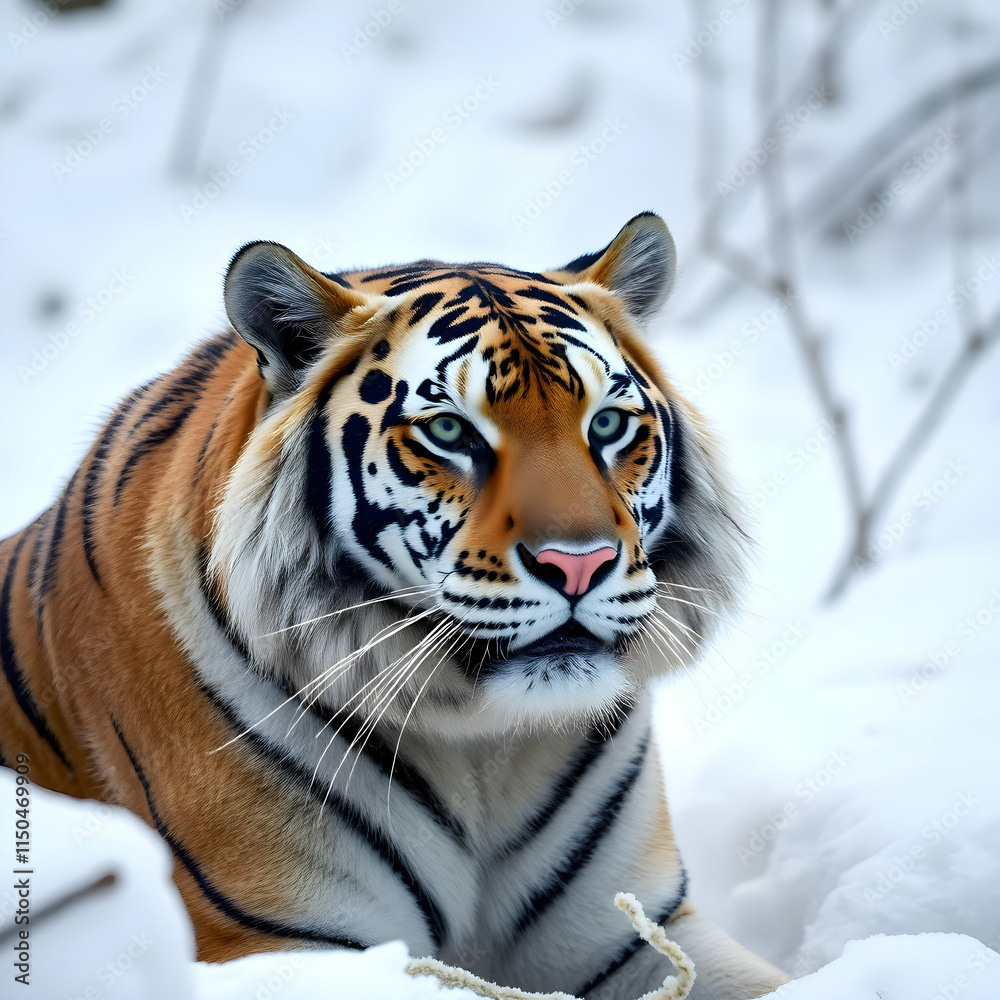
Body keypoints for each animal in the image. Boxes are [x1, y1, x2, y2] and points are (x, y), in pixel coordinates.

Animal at [0, 212, 788, 999]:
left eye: (606, 425)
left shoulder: (634, 930)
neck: (486, 745)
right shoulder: (282, 945)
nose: (579, 564)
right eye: (448, 431)